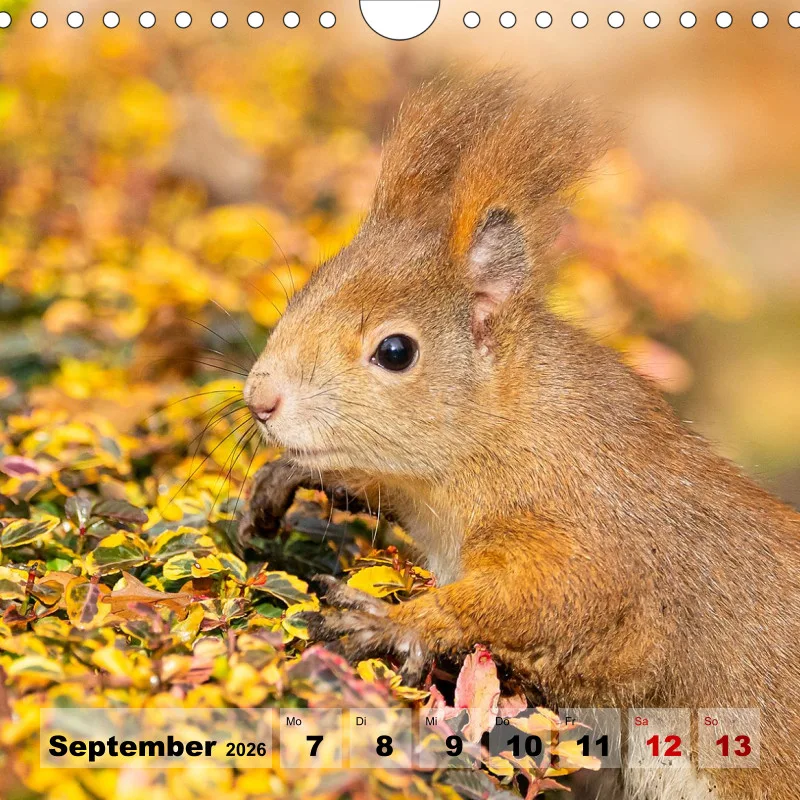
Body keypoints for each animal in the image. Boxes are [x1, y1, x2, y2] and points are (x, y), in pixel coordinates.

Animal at [240, 74, 800, 800]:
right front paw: (294, 476)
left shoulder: (593, 539)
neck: (501, 436)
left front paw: (394, 621)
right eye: (304, 290)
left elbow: (556, 604)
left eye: (395, 351)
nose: (259, 399)